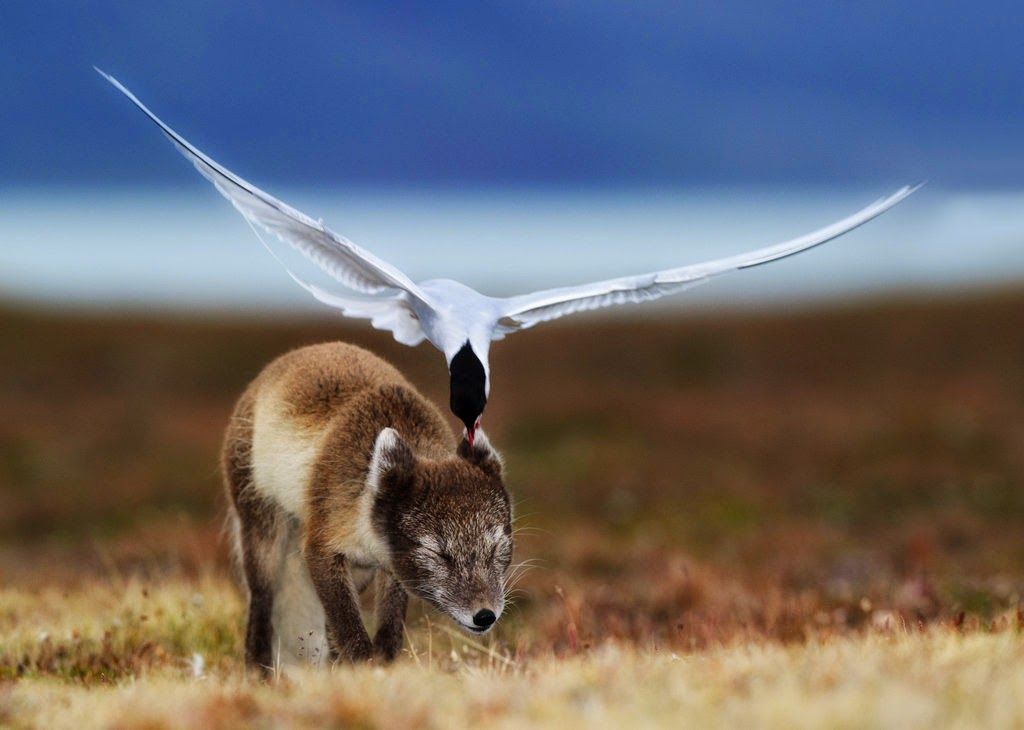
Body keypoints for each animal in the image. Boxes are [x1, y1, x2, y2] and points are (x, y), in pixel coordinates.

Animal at [223, 341, 512, 671]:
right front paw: (366, 670)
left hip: (359, 574)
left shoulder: (390, 568)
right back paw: (259, 670)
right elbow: (351, 630)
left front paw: (380, 666)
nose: (485, 616)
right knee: (262, 601)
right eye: (439, 553)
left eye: (496, 547)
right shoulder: (321, 547)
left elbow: (388, 628)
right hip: (264, 533)